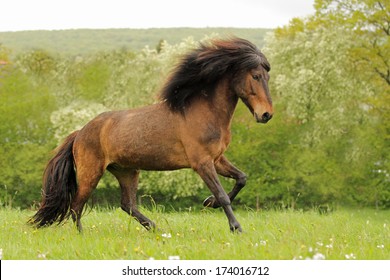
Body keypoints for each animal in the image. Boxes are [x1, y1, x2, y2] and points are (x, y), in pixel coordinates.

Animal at [29, 37, 272, 234]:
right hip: (91, 173)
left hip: (127, 171)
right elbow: (222, 195)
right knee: (76, 205)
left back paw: (156, 229)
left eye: (267, 77)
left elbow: (241, 178)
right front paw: (236, 227)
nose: (266, 114)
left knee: (127, 204)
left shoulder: (217, 159)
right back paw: (83, 235)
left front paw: (209, 202)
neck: (203, 112)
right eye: (256, 76)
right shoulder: (202, 163)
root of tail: (80, 133)